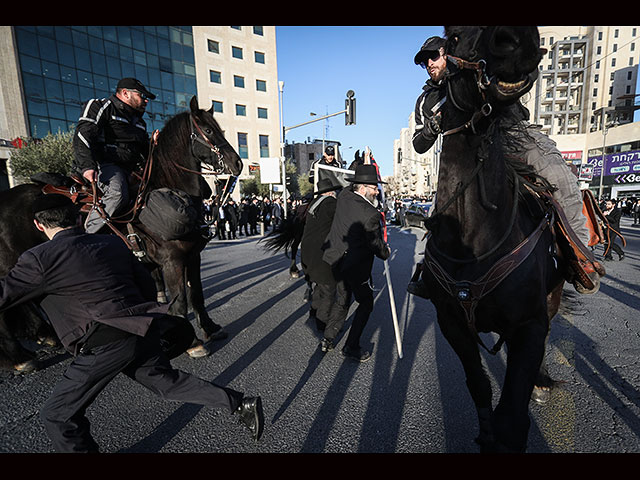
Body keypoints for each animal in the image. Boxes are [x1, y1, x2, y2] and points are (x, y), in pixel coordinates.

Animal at [0, 95, 242, 374]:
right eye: (209, 130)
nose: (238, 163)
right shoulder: (171, 262)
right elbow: (180, 301)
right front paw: (193, 343)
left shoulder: (192, 257)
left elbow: (198, 296)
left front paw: (210, 329)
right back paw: (20, 357)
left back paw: (46, 337)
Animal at [420, 27, 564, 454]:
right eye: (453, 36)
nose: (515, 40)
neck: (475, 237)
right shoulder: (452, 323)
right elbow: (480, 387)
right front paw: (484, 433)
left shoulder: (529, 325)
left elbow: (512, 419)